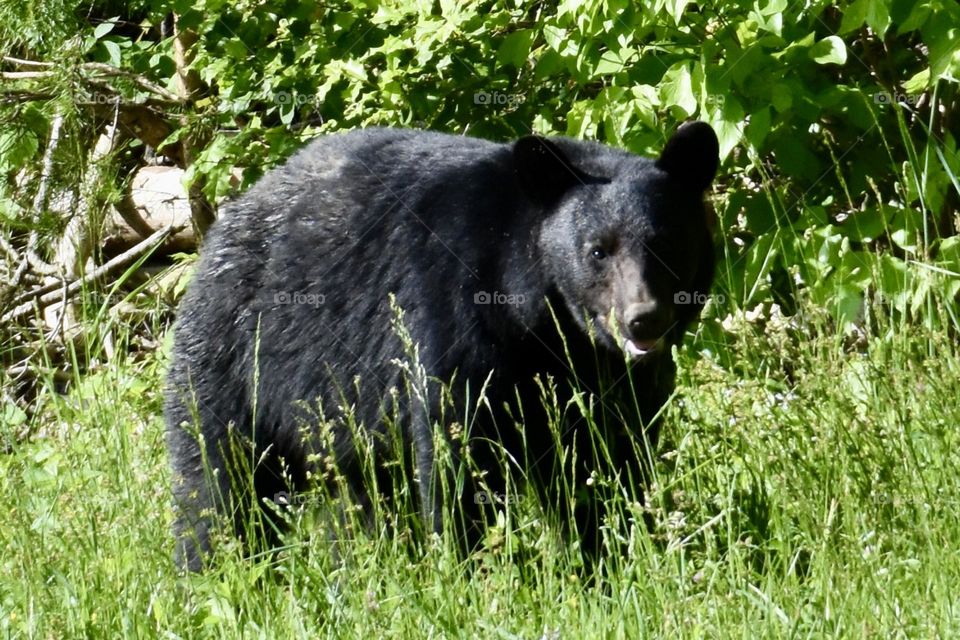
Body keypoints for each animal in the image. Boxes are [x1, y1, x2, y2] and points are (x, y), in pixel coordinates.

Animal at [167, 121, 720, 568]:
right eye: (598, 251)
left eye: (667, 243)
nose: (643, 320)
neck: (544, 324)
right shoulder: (450, 310)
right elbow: (456, 445)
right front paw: (461, 560)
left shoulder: (615, 380)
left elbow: (610, 455)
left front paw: (608, 551)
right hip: (234, 354)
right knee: (217, 478)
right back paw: (217, 570)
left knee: (360, 496)